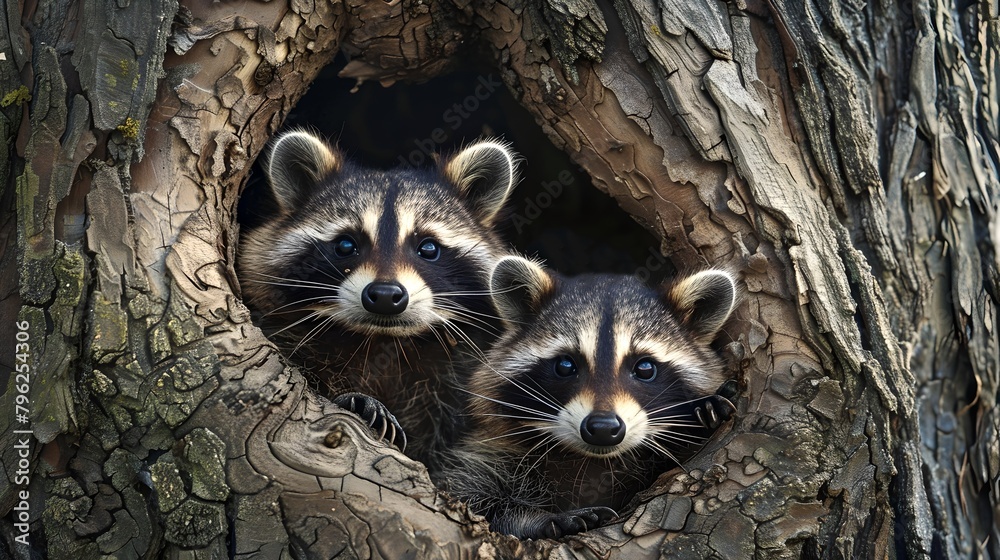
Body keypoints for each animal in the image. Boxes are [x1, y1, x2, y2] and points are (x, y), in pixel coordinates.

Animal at [434, 256, 738, 539]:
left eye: (645, 368)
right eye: (565, 365)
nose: (603, 428)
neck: (593, 461)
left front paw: (702, 411)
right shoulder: (490, 450)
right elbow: (470, 494)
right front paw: (535, 519)